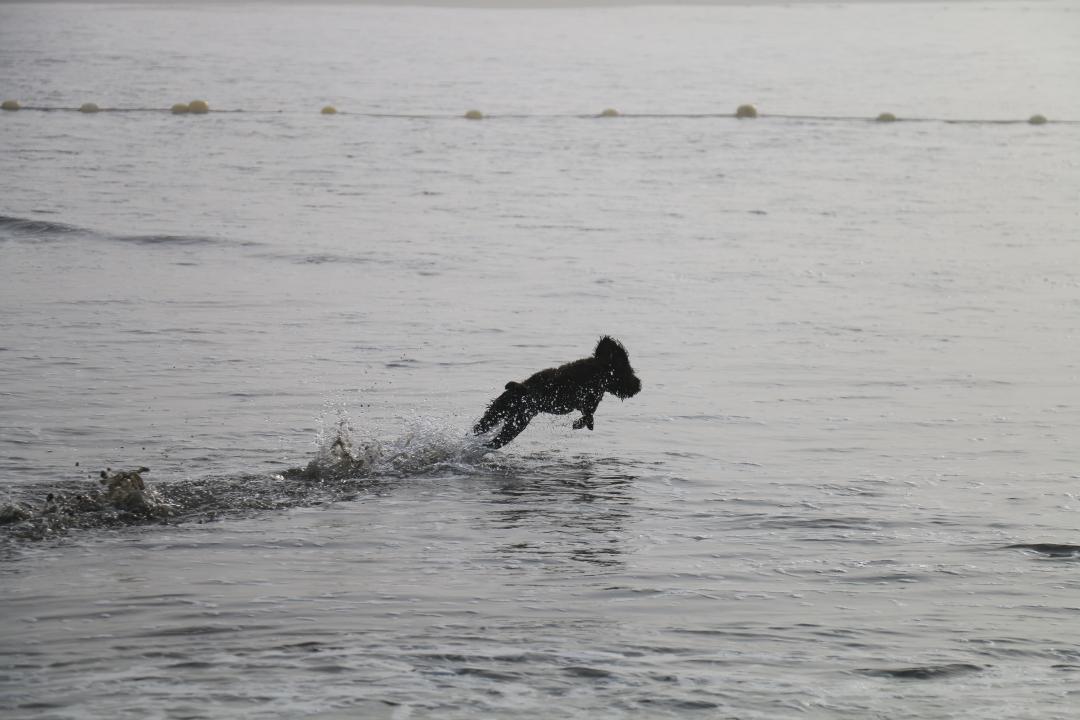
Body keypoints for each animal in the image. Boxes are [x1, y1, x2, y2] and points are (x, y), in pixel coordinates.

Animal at [475, 334, 639, 446]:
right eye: (628, 371)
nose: (639, 386)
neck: (600, 369)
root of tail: (518, 389)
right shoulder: (588, 400)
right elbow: (588, 416)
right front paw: (579, 424)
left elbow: (588, 416)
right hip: (514, 425)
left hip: (497, 414)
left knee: (480, 428)